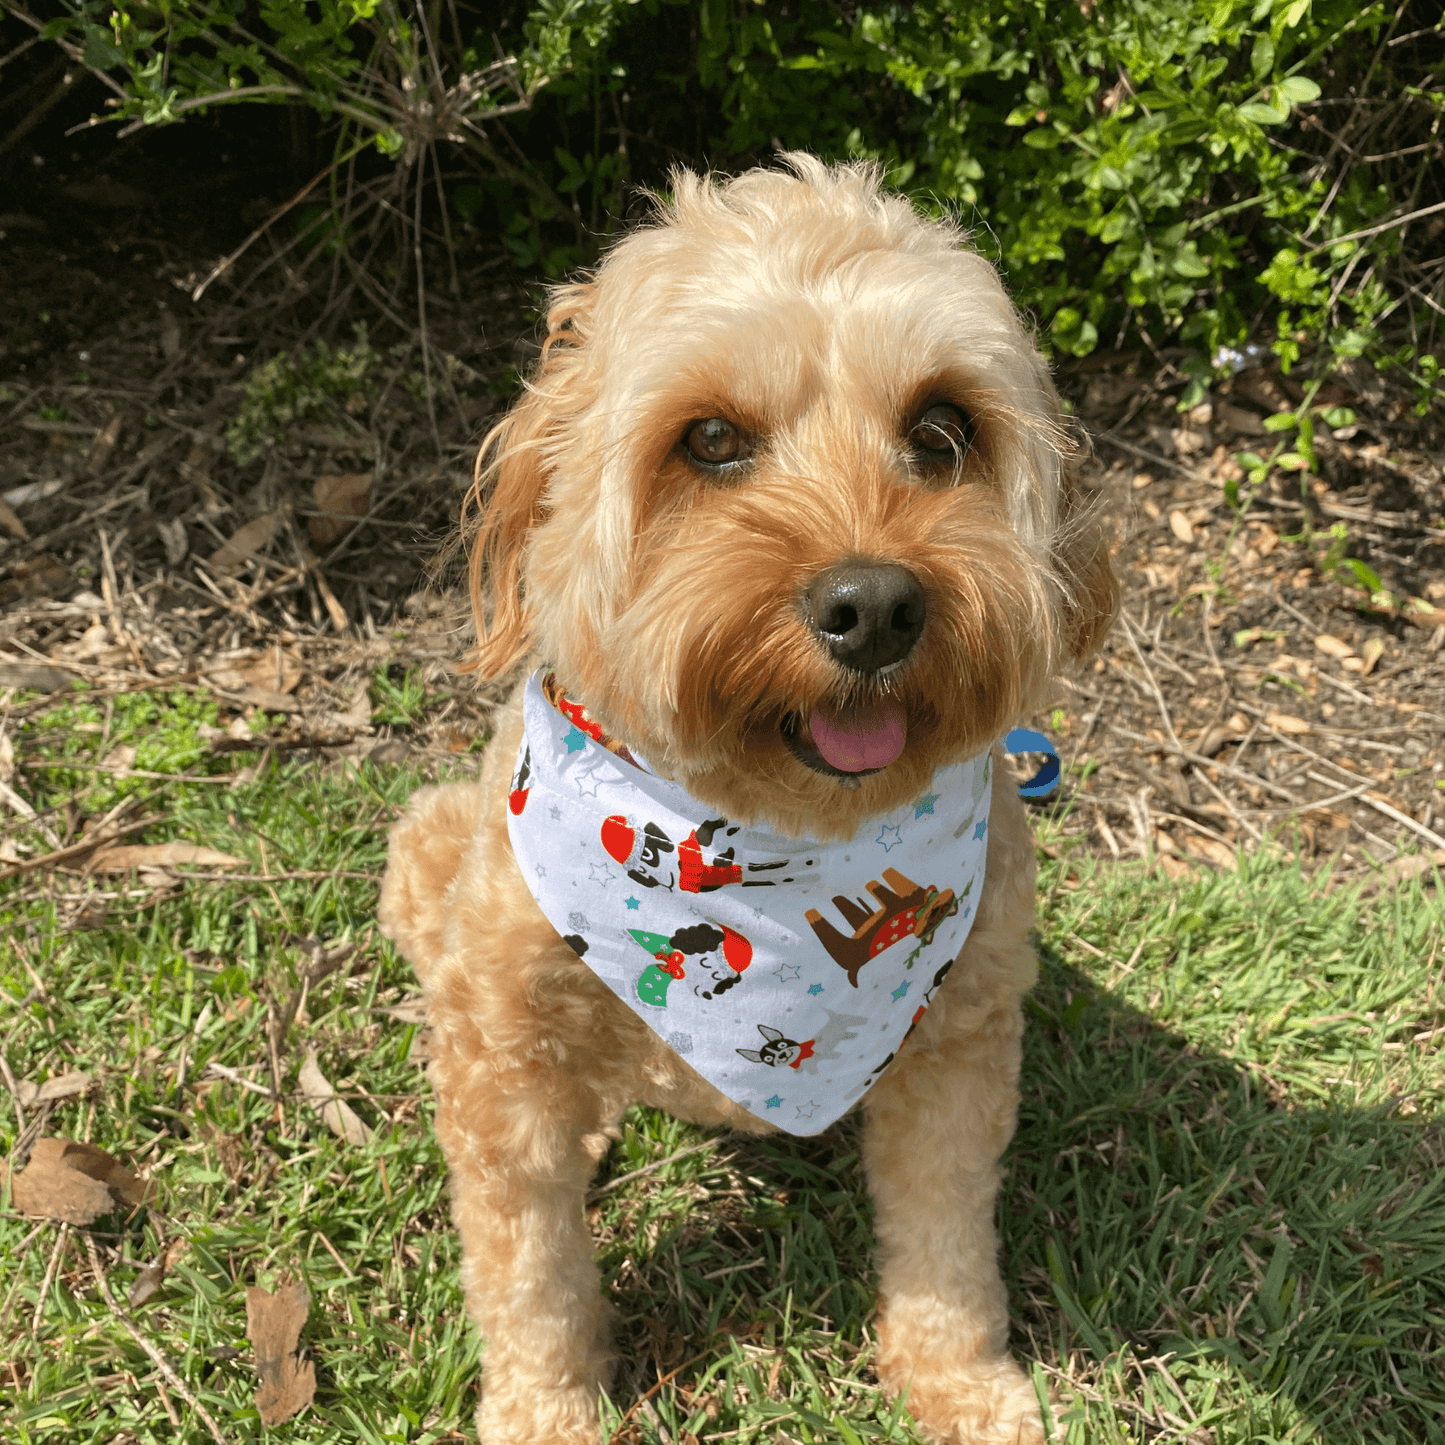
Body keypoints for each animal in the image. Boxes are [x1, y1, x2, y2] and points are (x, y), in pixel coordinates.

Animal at [381, 152, 1115, 1439]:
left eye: (941, 429)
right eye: (712, 438)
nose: (873, 604)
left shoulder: (957, 1044)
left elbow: (945, 1238)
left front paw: (961, 1384)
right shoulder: (502, 1063)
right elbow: (530, 1274)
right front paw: (546, 1408)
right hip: (427, 853)